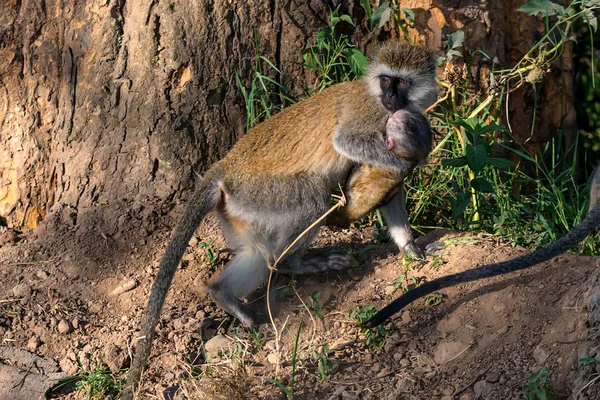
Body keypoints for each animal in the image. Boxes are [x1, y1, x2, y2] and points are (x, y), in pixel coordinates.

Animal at [123, 42, 436, 396]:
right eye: (386, 80)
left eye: (402, 82)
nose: (392, 99)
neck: (376, 96)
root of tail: (224, 169)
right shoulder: (372, 117)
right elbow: (347, 142)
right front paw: (404, 164)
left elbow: (393, 195)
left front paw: (411, 247)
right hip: (263, 192)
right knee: (312, 201)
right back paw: (292, 263)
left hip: (242, 208)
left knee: (257, 256)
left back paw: (222, 293)